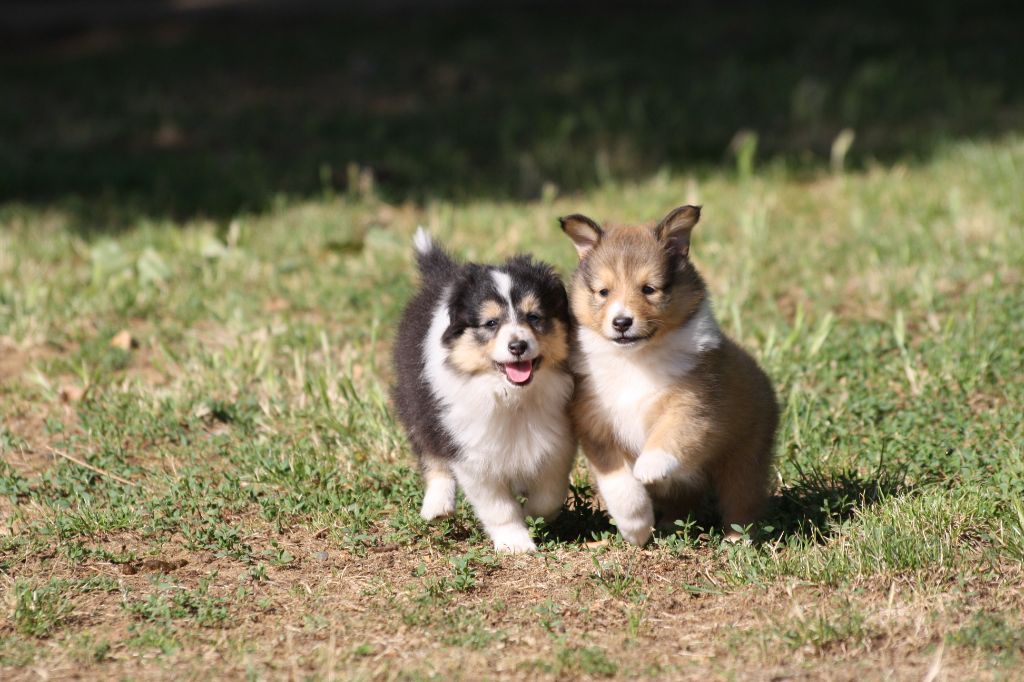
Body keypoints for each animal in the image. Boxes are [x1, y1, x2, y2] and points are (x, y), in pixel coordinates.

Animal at [391, 228, 577, 552]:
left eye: (534, 317)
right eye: (491, 323)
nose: (518, 346)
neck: (510, 395)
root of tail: (442, 276)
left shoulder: (558, 441)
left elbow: (550, 494)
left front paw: (532, 516)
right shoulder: (472, 452)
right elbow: (498, 506)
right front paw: (516, 544)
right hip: (417, 400)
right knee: (430, 452)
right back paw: (437, 506)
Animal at [561, 204, 774, 544]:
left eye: (649, 289)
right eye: (604, 292)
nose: (621, 322)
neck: (634, 360)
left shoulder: (694, 405)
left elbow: (670, 433)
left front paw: (648, 467)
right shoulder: (595, 425)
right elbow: (619, 482)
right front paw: (634, 528)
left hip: (745, 455)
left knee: (742, 500)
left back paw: (736, 540)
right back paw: (668, 525)